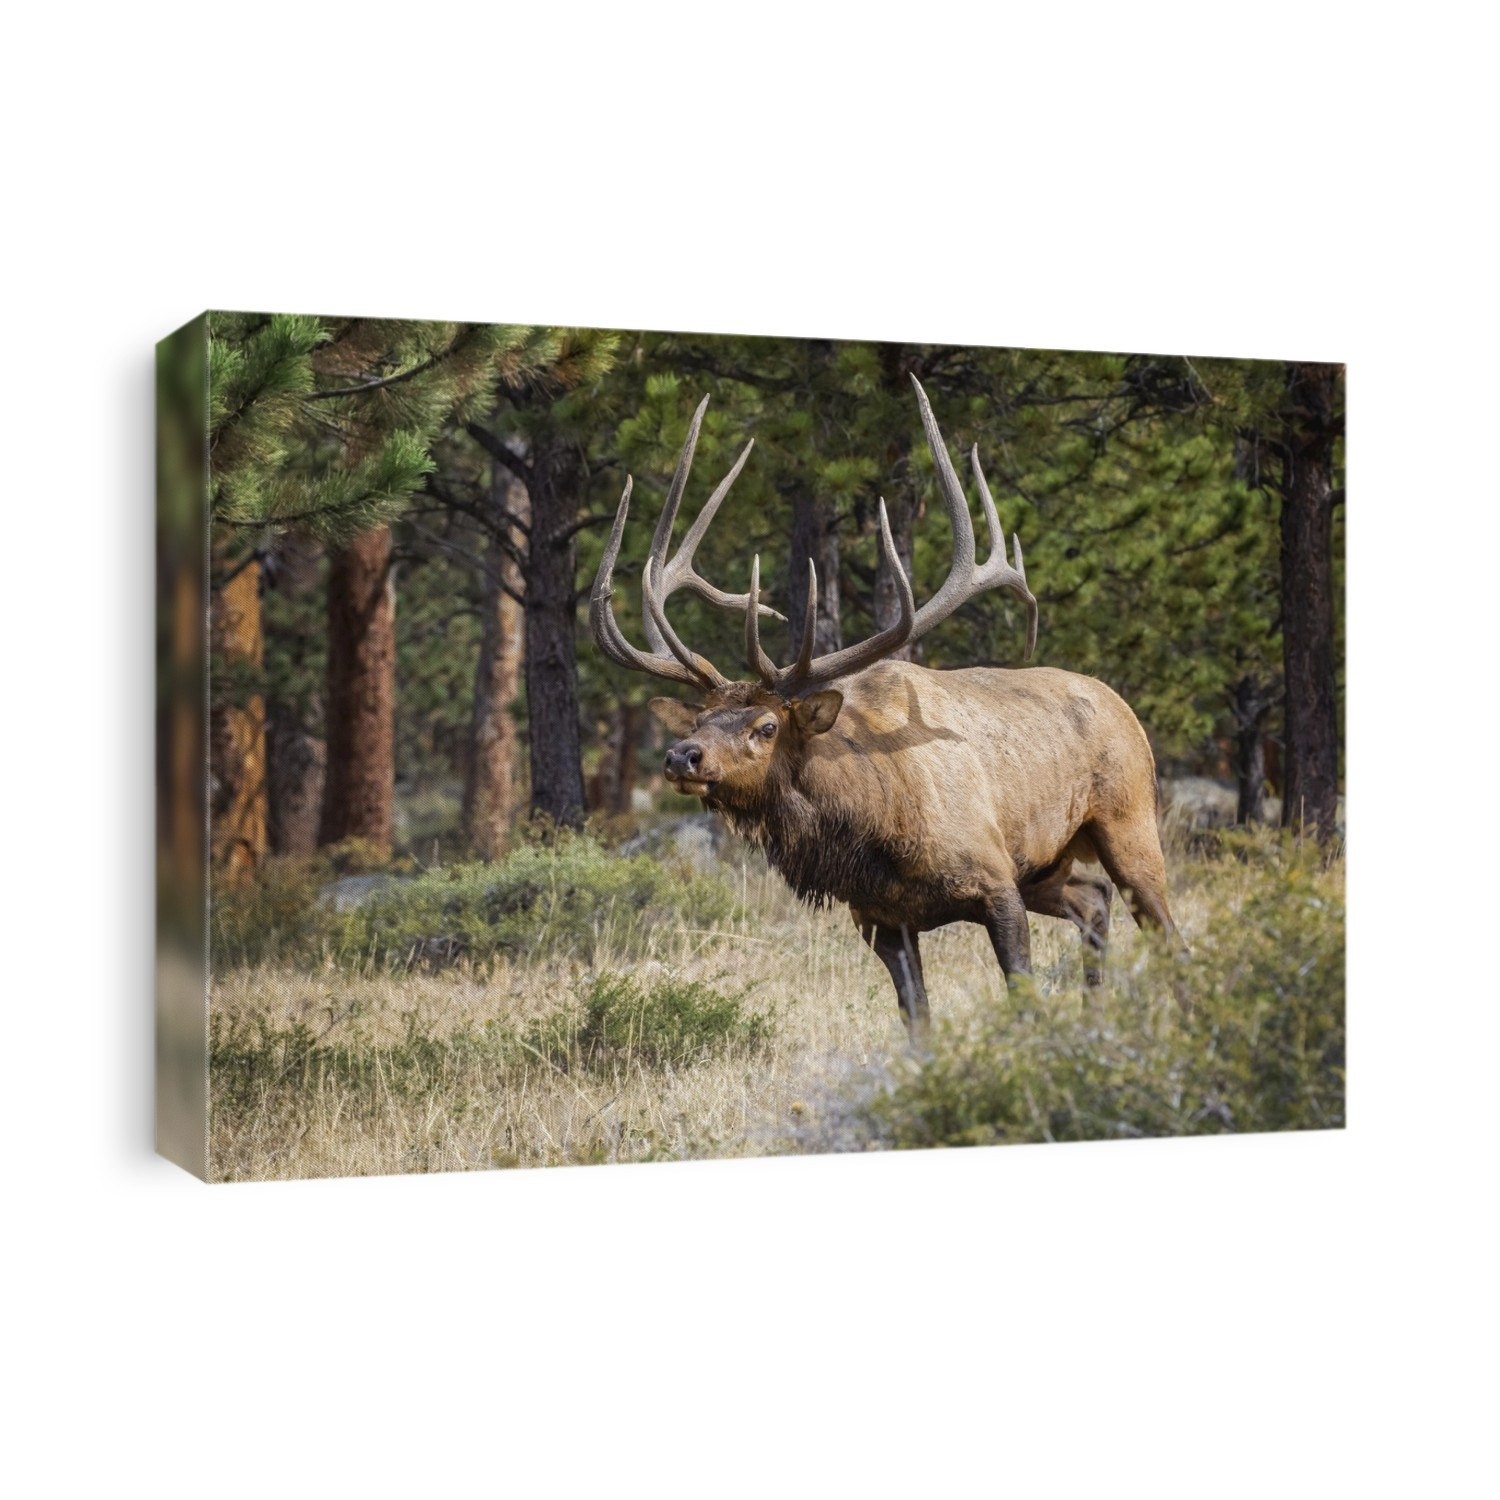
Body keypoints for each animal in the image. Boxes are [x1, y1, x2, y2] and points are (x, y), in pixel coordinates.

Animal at [590, 375, 1181, 1037]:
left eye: (766, 726)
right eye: (697, 719)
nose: (681, 757)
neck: (874, 827)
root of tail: (1125, 707)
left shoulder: (995, 883)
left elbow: (1021, 996)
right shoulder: (879, 920)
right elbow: (916, 1021)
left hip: (1127, 821)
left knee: (1165, 930)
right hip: (1046, 867)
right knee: (1094, 900)